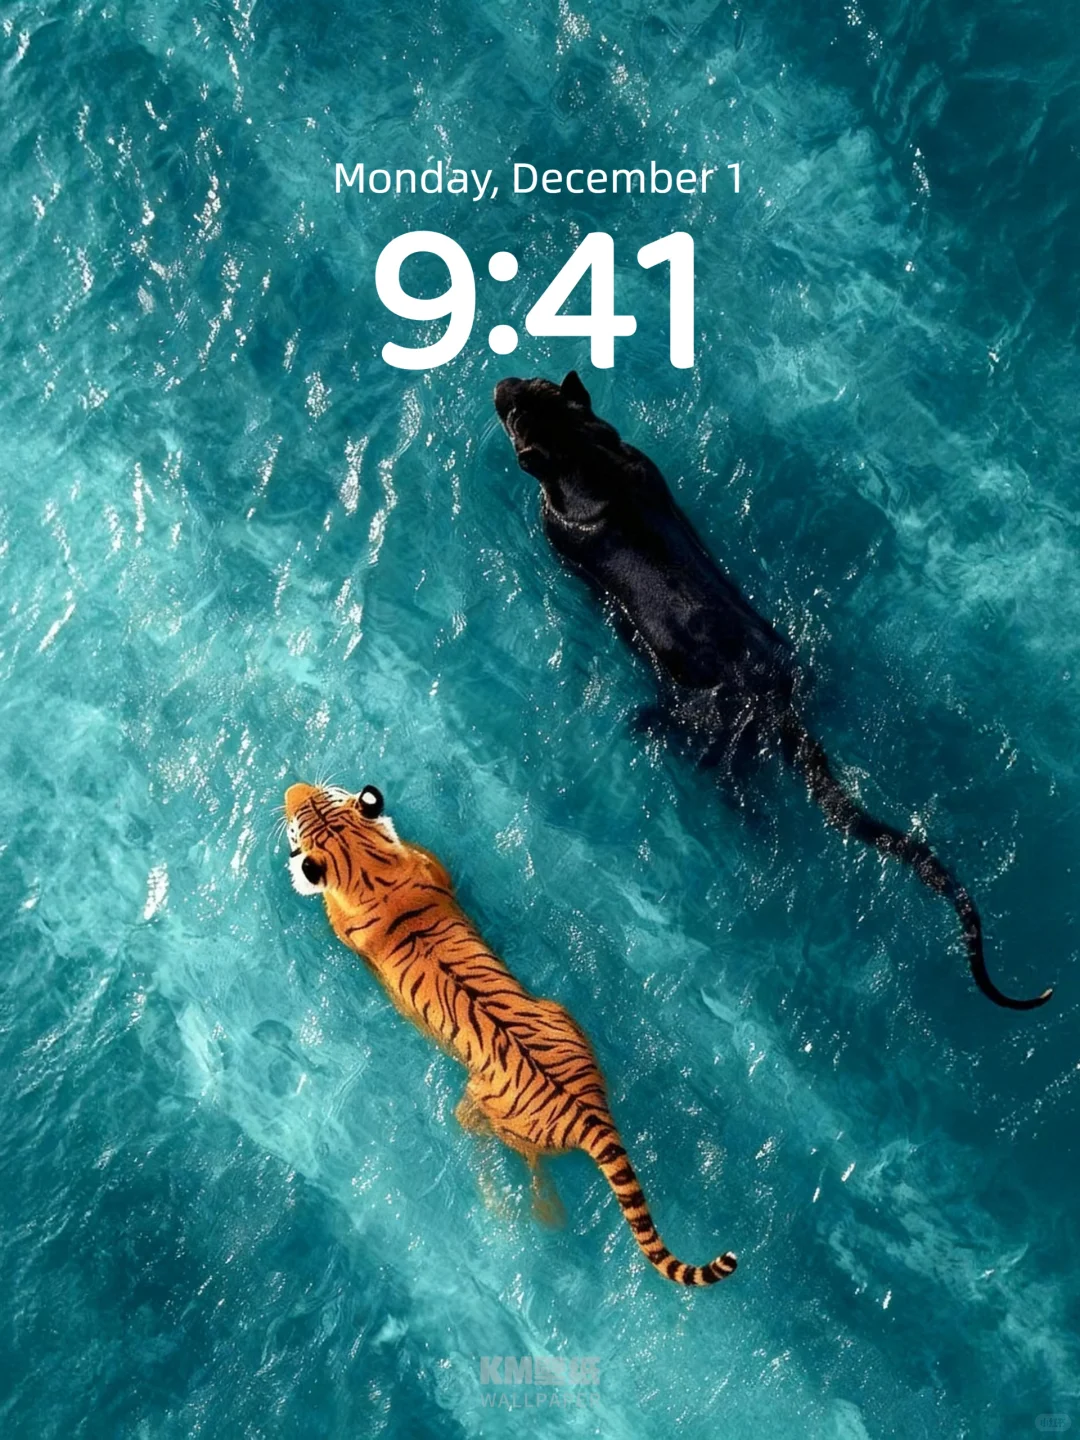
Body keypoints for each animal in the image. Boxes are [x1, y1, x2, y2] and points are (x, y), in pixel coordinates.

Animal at [283, 780, 738, 1288]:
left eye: (303, 813)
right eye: (314, 803)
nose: (293, 788)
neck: (369, 870)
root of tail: (590, 1115)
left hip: (487, 1108)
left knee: (509, 1150)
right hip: (559, 1011)